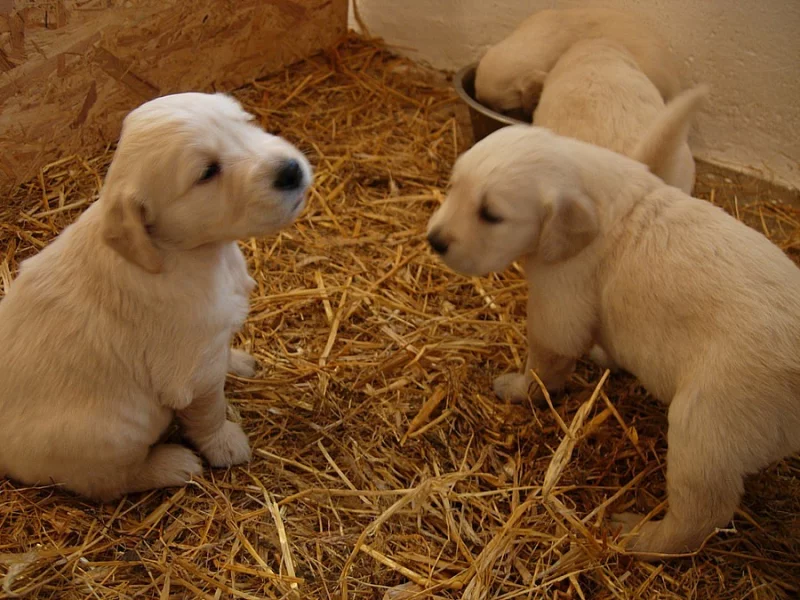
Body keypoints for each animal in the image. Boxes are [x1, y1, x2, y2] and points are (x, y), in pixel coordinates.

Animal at [0, 90, 312, 502]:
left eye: (245, 123)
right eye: (207, 172)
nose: (290, 170)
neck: (181, 252)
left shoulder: (212, 342)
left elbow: (224, 353)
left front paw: (240, 362)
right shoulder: (193, 374)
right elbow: (209, 412)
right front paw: (225, 444)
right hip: (113, 434)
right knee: (111, 481)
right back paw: (172, 464)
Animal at [428, 124, 800, 556]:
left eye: (491, 215)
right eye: (452, 186)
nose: (434, 240)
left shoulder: (559, 299)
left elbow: (545, 363)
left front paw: (518, 389)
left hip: (704, 427)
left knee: (701, 515)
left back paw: (639, 536)